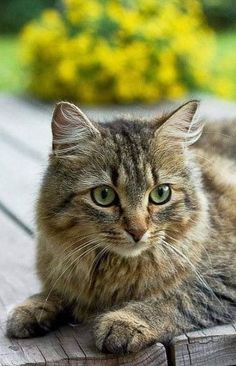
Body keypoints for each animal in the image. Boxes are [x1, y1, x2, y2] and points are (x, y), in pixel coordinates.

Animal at [6, 101, 236, 354]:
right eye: (104, 195)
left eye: (161, 193)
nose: (138, 231)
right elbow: (55, 293)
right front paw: (32, 307)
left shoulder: (222, 279)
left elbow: (177, 298)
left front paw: (124, 322)